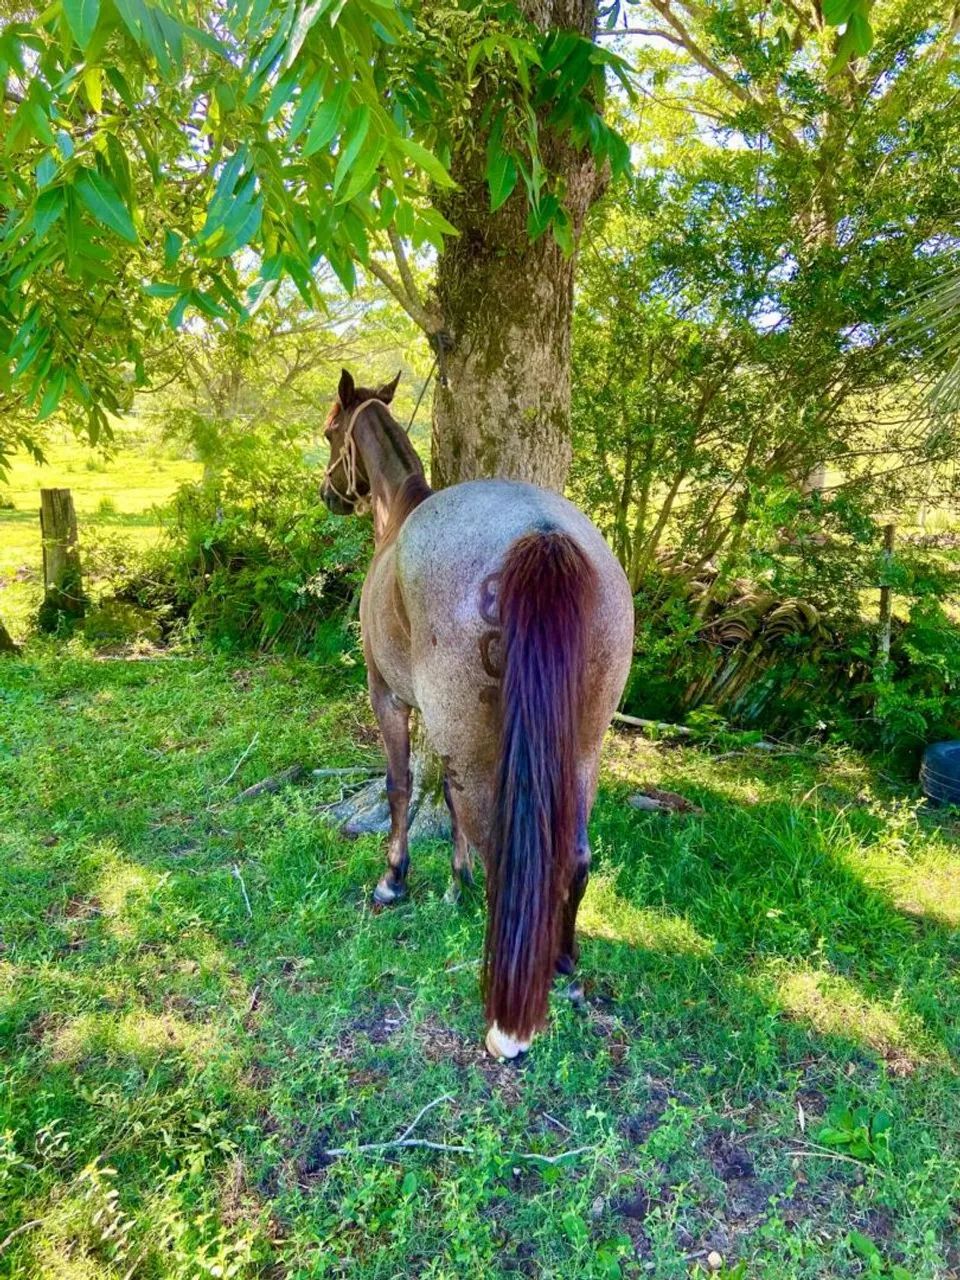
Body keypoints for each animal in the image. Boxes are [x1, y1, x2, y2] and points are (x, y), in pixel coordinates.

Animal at [321, 368, 634, 1058]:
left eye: (330, 431)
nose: (329, 492)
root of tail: (542, 533)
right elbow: (444, 792)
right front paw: (453, 882)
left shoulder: (389, 696)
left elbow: (402, 784)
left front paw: (396, 880)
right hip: (581, 747)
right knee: (573, 857)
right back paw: (565, 969)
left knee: (507, 858)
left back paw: (507, 1022)